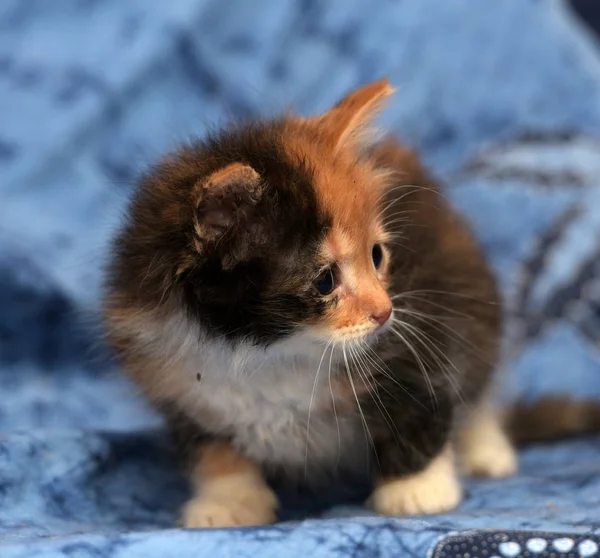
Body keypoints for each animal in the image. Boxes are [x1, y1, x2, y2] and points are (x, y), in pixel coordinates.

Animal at [102, 79, 516, 528]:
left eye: (376, 256)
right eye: (325, 280)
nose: (385, 311)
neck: (272, 352)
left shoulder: (423, 329)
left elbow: (420, 402)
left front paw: (416, 488)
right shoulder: (179, 386)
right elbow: (211, 446)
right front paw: (227, 501)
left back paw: (485, 450)